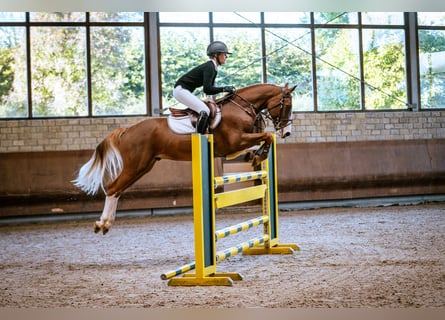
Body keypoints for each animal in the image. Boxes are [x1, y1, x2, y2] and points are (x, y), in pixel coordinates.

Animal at [72, 82, 294, 234]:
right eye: (287, 106)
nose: (287, 133)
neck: (240, 107)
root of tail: (127, 130)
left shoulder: (233, 148)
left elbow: (261, 141)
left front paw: (257, 155)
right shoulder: (235, 142)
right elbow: (266, 136)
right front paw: (261, 153)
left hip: (144, 166)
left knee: (117, 190)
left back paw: (106, 223)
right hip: (136, 165)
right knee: (112, 188)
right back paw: (102, 224)